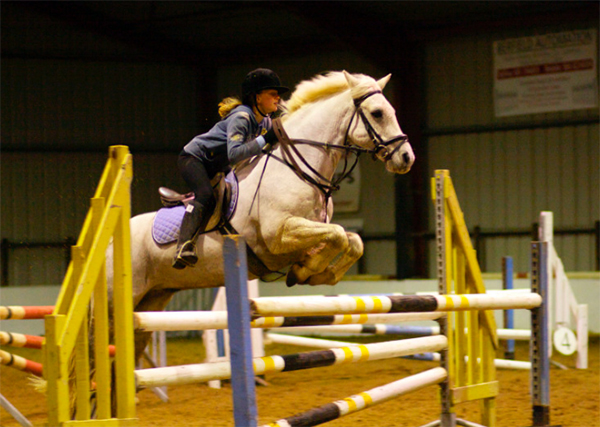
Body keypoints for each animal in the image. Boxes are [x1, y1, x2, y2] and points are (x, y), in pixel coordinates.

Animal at [108, 72, 414, 360]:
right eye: (378, 113)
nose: (407, 158)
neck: (297, 167)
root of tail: (109, 240)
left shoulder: (310, 229)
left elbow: (352, 241)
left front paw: (313, 272)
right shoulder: (280, 234)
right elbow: (339, 235)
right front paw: (306, 271)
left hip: (153, 299)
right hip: (123, 299)